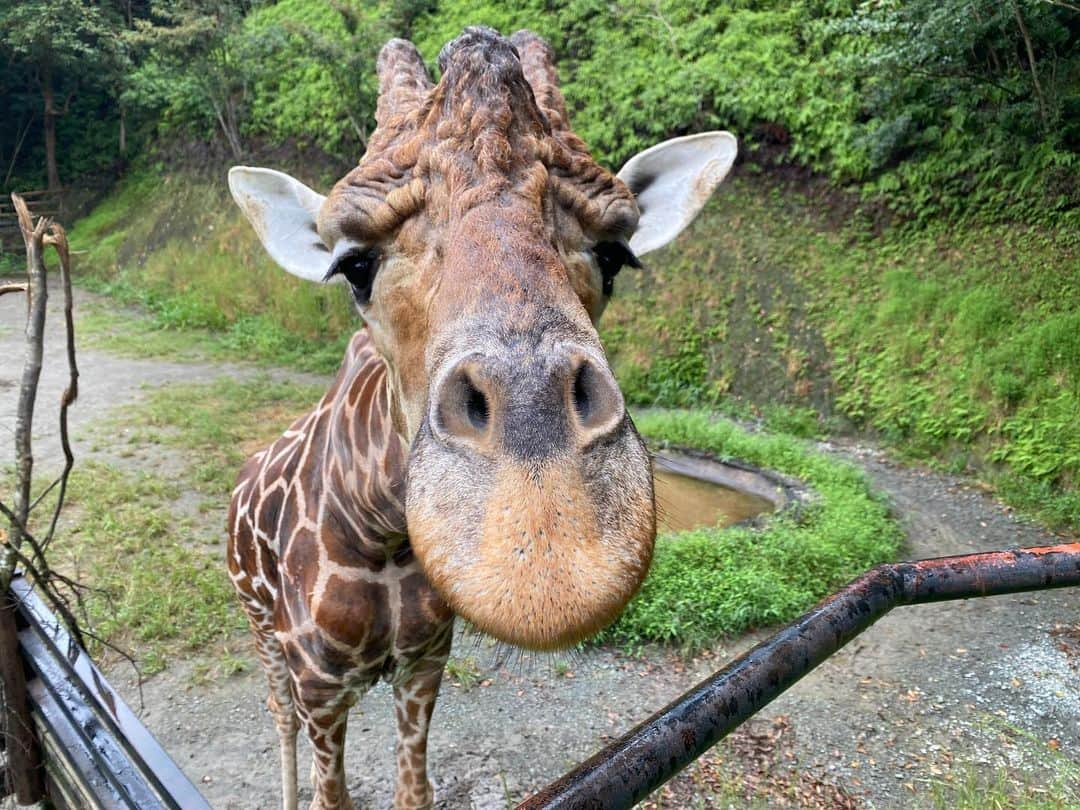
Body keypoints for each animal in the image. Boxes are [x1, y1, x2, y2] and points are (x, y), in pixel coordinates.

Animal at [224, 27, 738, 810]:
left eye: (614, 256)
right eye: (354, 266)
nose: (545, 551)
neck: (383, 534)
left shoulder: (424, 664)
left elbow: (414, 789)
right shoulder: (319, 684)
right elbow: (328, 791)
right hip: (261, 634)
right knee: (276, 721)